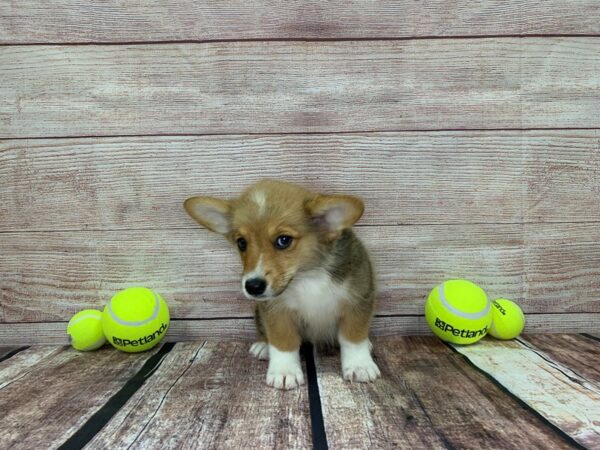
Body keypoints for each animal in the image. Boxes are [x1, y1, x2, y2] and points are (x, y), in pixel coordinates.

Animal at [184, 179, 380, 390]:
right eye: (241, 243)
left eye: (283, 240)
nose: (253, 286)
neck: (307, 275)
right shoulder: (276, 311)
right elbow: (283, 342)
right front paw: (285, 371)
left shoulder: (358, 301)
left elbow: (353, 338)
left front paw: (360, 365)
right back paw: (263, 346)